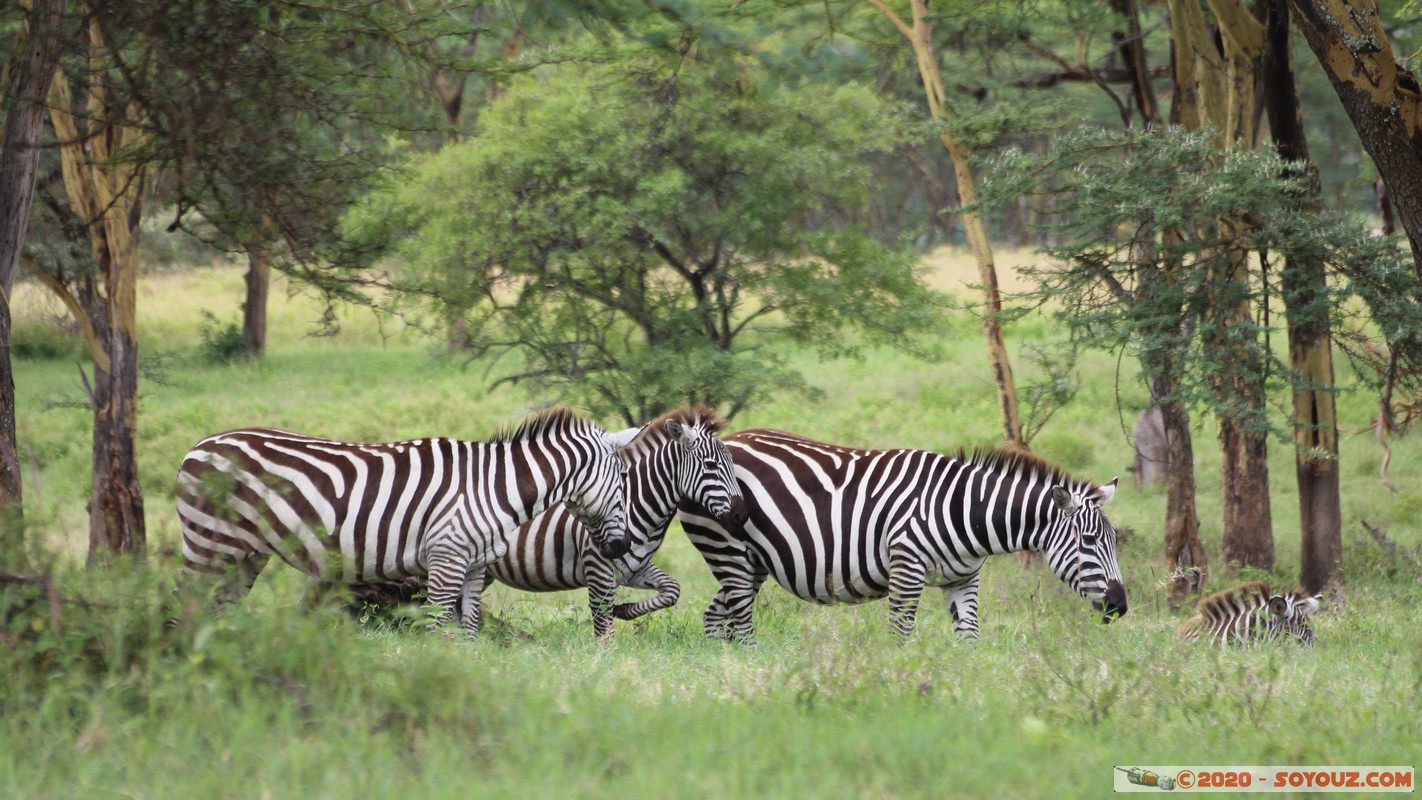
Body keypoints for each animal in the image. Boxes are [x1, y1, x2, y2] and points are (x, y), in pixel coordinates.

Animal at [172, 407, 634, 636]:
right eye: (625, 479)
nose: (621, 548)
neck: (494, 488)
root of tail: (198, 446)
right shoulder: (446, 560)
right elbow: (435, 627)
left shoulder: (474, 568)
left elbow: (467, 632)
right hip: (211, 542)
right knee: (184, 606)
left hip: (245, 554)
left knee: (212, 611)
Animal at [678, 429, 1128, 643]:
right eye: (1090, 542)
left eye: (1114, 542)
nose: (1120, 606)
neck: (965, 511)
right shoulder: (906, 567)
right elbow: (900, 634)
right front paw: (899, 686)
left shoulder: (963, 579)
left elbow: (969, 637)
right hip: (727, 548)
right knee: (739, 621)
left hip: (751, 562)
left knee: (715, 618)